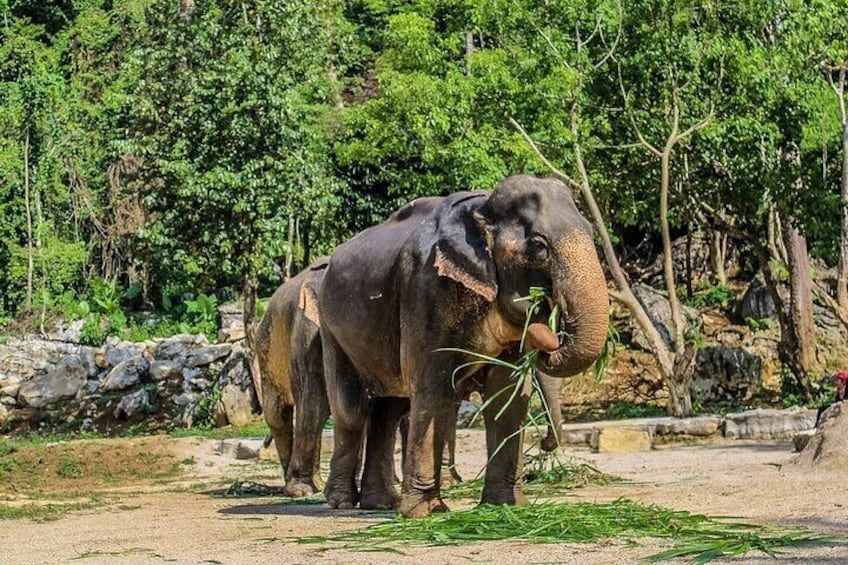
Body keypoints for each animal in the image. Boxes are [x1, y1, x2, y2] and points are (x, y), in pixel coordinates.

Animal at [318, 175, 608, 516]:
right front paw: (426, 512)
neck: (482, 208)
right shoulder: (427, 288)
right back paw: (341, 502)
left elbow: (507, 394)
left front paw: (504, 505)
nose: (546, 444)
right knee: (351, 410)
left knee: (388, 409)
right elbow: (433, 387)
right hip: (331, 328)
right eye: (539, 245)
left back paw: (381, 503)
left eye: (591, 232)